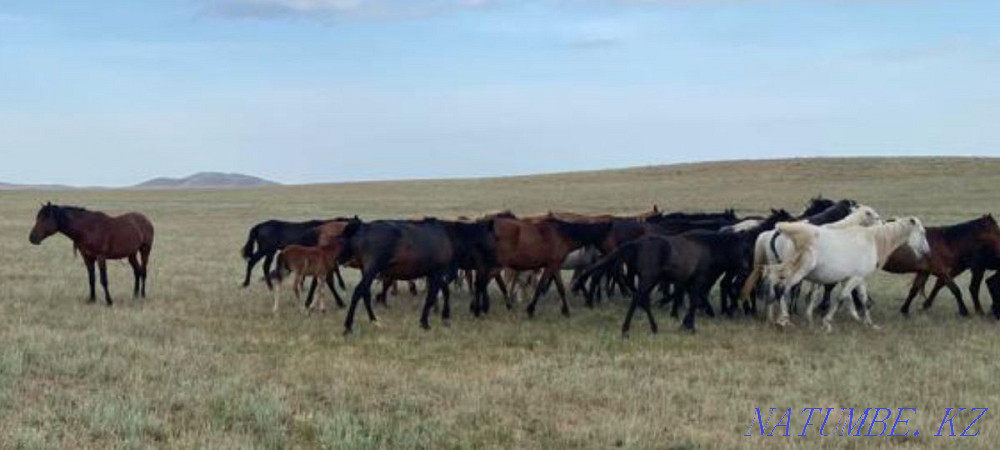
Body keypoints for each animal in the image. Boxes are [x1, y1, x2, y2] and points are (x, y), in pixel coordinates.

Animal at [771, 217, 931, 332]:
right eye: (922, 233)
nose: (927, 252)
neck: (872, 240)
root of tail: (785, 233)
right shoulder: (855, 278)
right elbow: (842, 297)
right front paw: (827, 323)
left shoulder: (859, 279)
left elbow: (863, 300)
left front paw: (869, 323)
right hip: (799, 272)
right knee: (782, 288)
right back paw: (783, 320)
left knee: (778, 287)